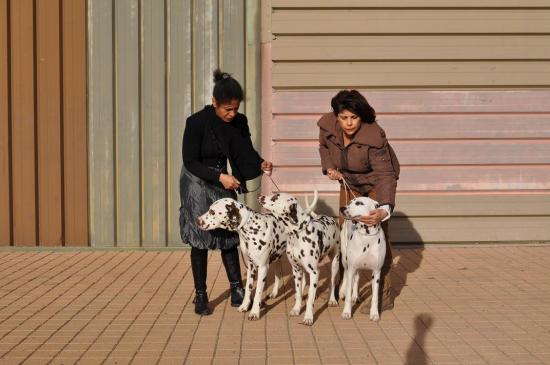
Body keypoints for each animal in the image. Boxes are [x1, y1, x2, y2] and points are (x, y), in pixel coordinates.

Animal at [258, 191, 340, 324]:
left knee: (332, 283)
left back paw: (332, 299)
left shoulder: (314, 272)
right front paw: (296, 309)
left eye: (276, 197)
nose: (260, 197)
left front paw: (308, 317)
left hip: (334, 264)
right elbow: (299, 292)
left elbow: (310, 301)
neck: (297, 234)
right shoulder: (296, 270)